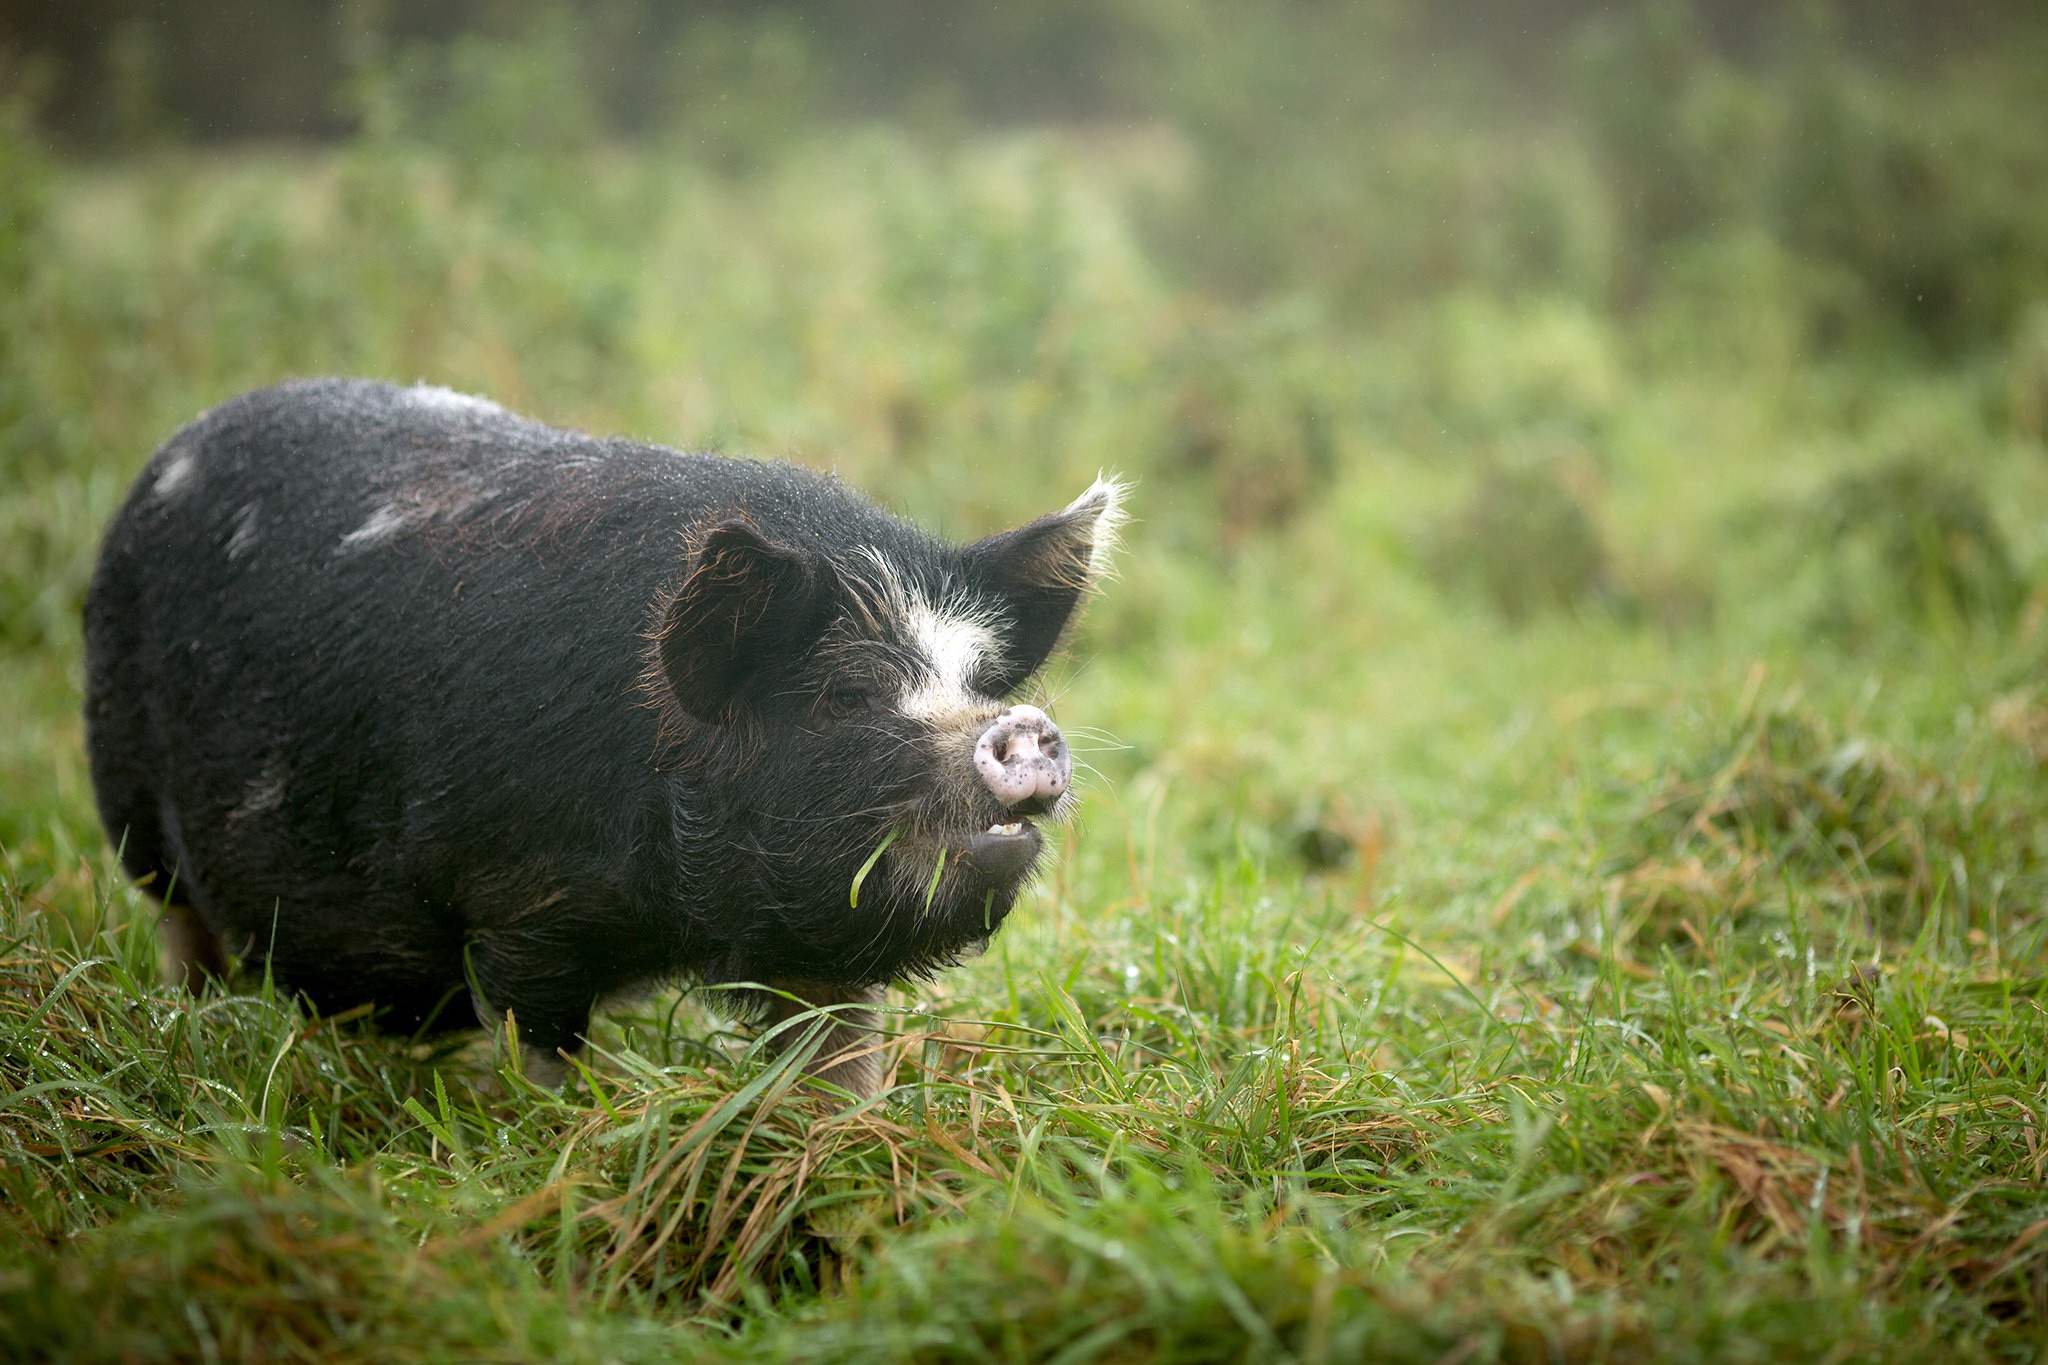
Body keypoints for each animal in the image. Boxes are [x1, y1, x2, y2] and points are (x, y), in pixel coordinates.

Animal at [83, 376, 1122, 1096]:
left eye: (979, 679)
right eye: (843, 696)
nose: (1024, 726)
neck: (676, 915)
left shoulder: (817, 946)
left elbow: (836, 1060)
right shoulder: (516, 902)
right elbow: (539, 1047)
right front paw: (564, 1137)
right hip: (127, 799)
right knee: (179, 919)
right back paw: (192, 1024)